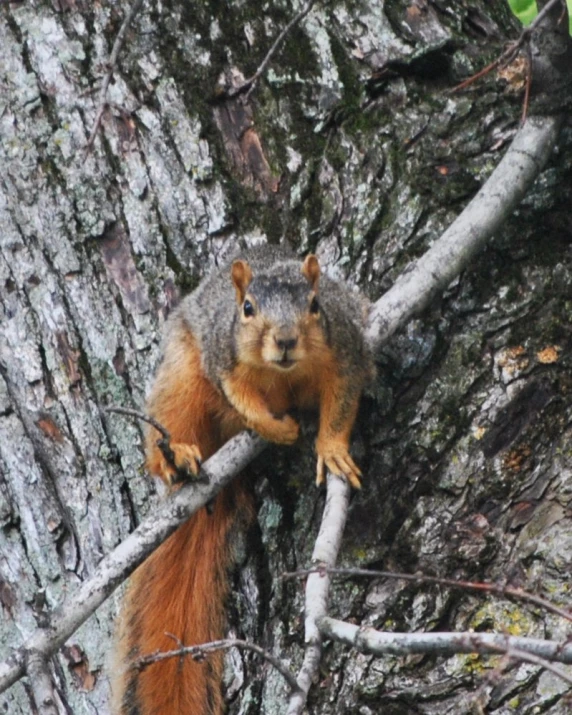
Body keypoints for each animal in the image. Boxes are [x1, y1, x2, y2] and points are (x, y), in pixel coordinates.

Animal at [116, 246, 376, 715]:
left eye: (315, 305)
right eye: (248, 309)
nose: (286, 340)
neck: (286, 375)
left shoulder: (347, 349)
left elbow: (343, 401)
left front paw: (331, 449)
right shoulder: (224, 357)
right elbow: (240, 396)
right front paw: (276, 428)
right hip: (181, 373)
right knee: (173, 420)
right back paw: (178, 459)